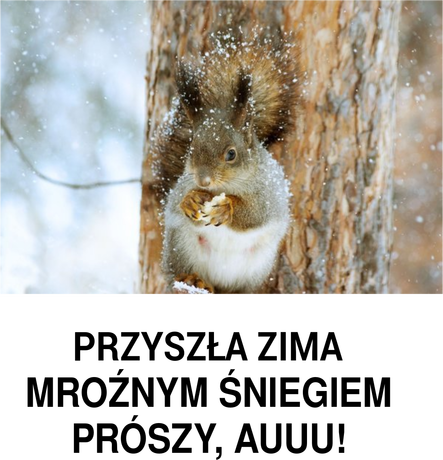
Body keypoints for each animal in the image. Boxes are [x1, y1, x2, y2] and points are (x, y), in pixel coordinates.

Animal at [153, 33, 302, 298]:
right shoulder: (181, 185)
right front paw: (190, 200)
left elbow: (255, 214)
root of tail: (218, 282)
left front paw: (226, 208)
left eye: (231, 154)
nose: (203, 180)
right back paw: (194, 279)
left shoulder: (268, 194)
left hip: (257, 266)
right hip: (180, 246)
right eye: (191, 148)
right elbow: (177, 201)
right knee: (178, 273)